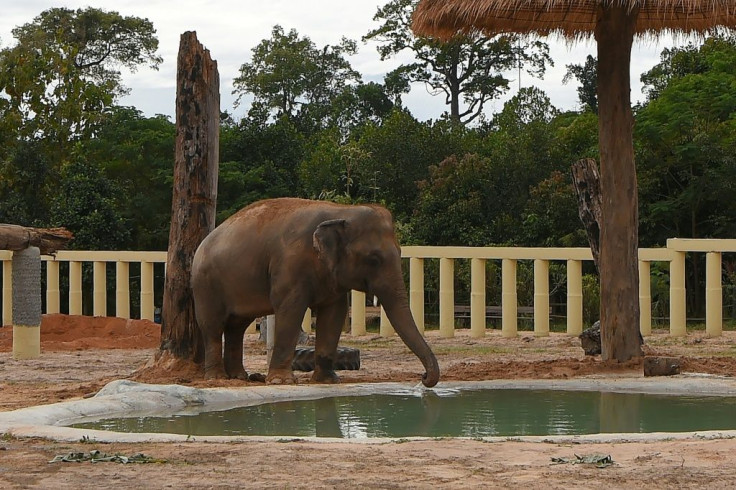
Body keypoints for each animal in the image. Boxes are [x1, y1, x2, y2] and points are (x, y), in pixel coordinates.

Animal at [190, 197, 440, 388]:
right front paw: (281, 382)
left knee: (237, 327)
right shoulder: (289, 265)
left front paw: (327, 380)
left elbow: (334, 313)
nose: (423, 378)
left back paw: (239, 377)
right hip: (205, 285)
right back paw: (218, 379)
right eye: (373, 259)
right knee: (213, 326)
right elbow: (290, 310)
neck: (340, 210)